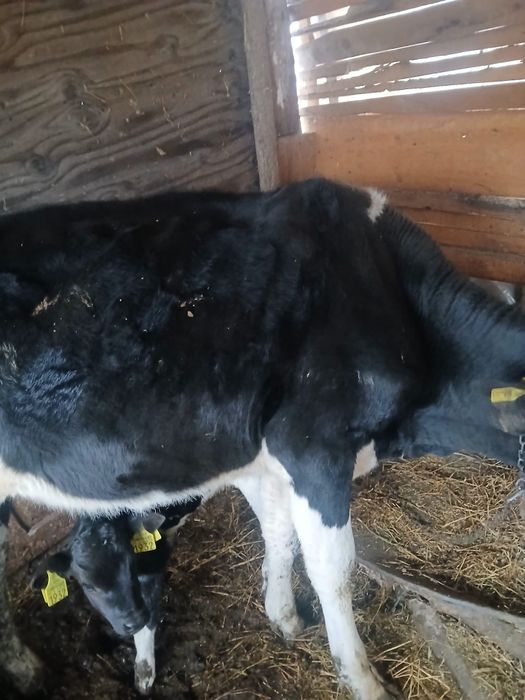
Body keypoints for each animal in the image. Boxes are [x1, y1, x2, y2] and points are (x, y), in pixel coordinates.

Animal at [33, 499, 201, 694]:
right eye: (88, 586)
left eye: (131, 564)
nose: (134, 621)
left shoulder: (154, 562)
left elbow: (149, 617)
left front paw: (144, 673)